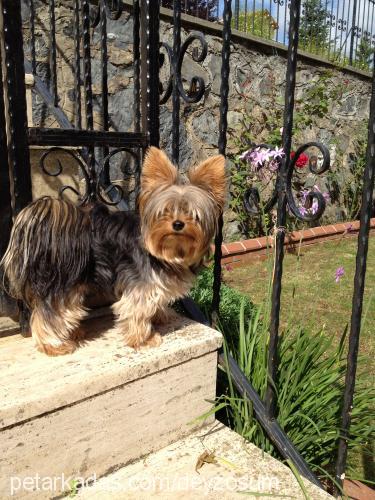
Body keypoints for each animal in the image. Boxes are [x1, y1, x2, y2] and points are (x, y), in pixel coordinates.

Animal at [0, 146, 226, 354]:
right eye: (165, 211)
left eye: (193, 214)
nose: (178, 224)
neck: (168, 250)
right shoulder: (140, 285)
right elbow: (137, 311)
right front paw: (143, 340)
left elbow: (156, 302)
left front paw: (162, 316)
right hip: (63, 282)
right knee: (49, 313)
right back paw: (55, 345)